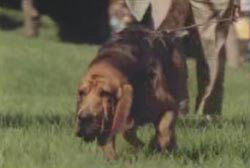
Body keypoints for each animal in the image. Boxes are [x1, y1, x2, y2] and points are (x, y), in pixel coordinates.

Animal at [76, 26, 188, 159]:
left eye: (105, 93)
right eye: (82, 92)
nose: (83, 117)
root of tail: (164, 33)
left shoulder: (169, 106)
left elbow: (164, 130)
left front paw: (155, 146)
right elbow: (125, 132)